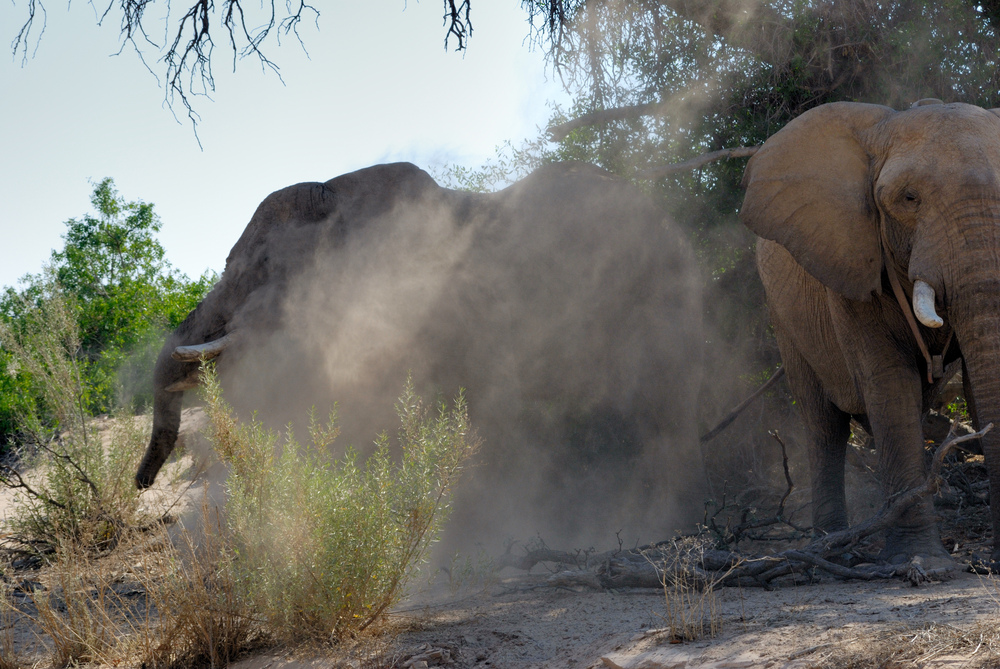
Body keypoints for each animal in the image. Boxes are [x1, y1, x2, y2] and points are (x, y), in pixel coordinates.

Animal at [740, 100, 1000, 564]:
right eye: (908, 198)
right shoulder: (850, 261)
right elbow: (889, 380)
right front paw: (921, 562)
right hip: (785, 320)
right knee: (824, 425)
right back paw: (830, 548)